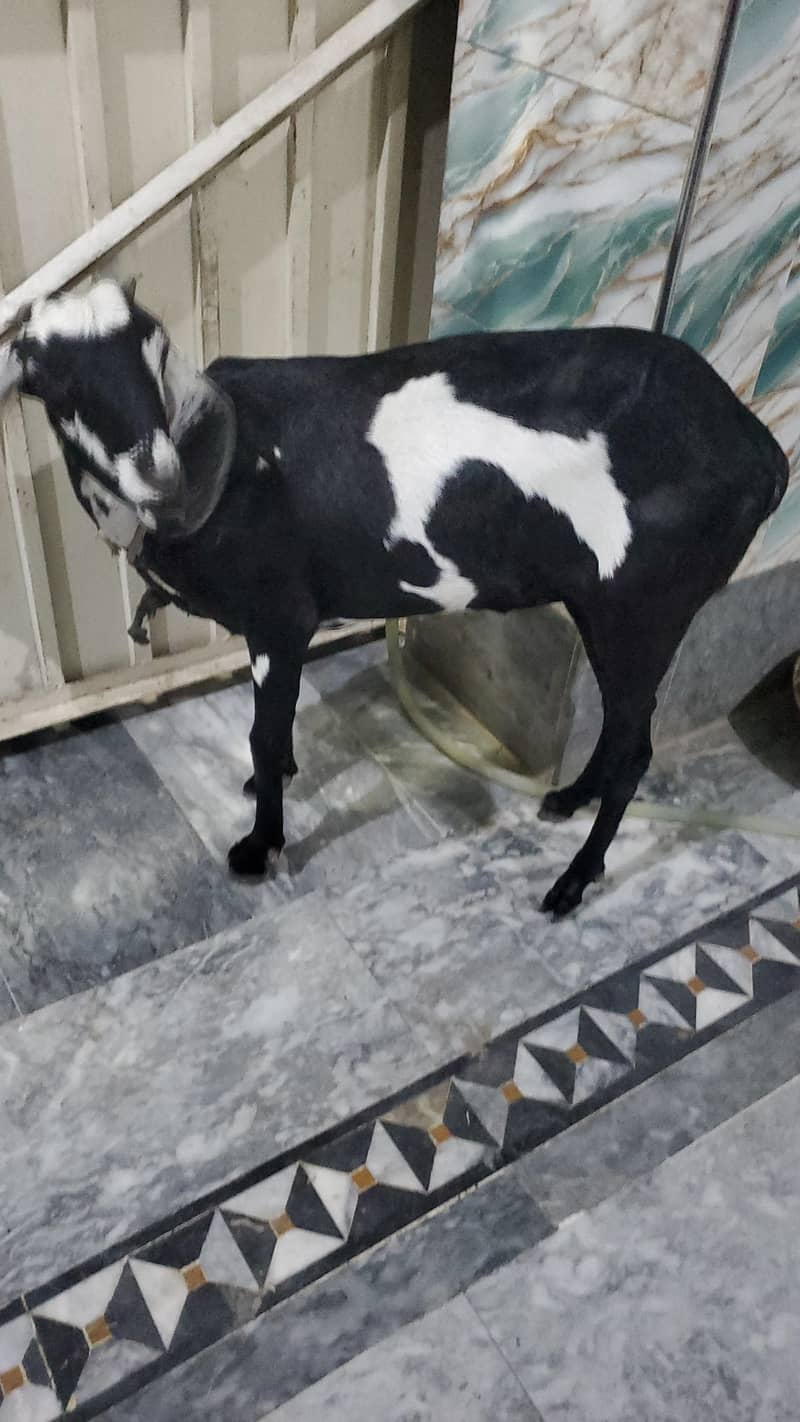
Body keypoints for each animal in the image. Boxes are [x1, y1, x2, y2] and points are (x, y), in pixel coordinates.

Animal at [0, 279, 789, 915]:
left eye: (153, 348)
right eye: (52, 381)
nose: (159, 471)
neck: (225, 464)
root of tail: (763, 452)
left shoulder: (279, 618)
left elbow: (262, 730)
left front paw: (260, 846)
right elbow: (274, 730)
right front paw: (270, 784)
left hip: (644, 606)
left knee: (635, 750)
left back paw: (570, 883)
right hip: (613, 610)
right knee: (630, 729)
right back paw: (566, 800)